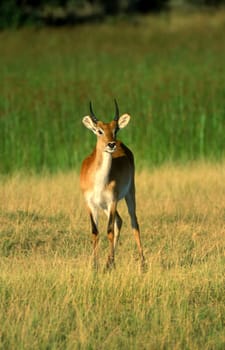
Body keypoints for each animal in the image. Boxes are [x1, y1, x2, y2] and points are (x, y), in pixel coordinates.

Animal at [80, 100, 145, 270]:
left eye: (116, 129)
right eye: (99, 131)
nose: (111, 144)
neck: (99, 182)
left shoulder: (112, 201)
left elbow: (109, 231)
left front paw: (107, 266)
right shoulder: (90, 204)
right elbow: (95, 232)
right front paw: (94, 265)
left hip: (129, 194)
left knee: (134, 223)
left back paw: (143, 263)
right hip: (104, 206)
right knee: (119, 221)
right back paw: (109, 261)